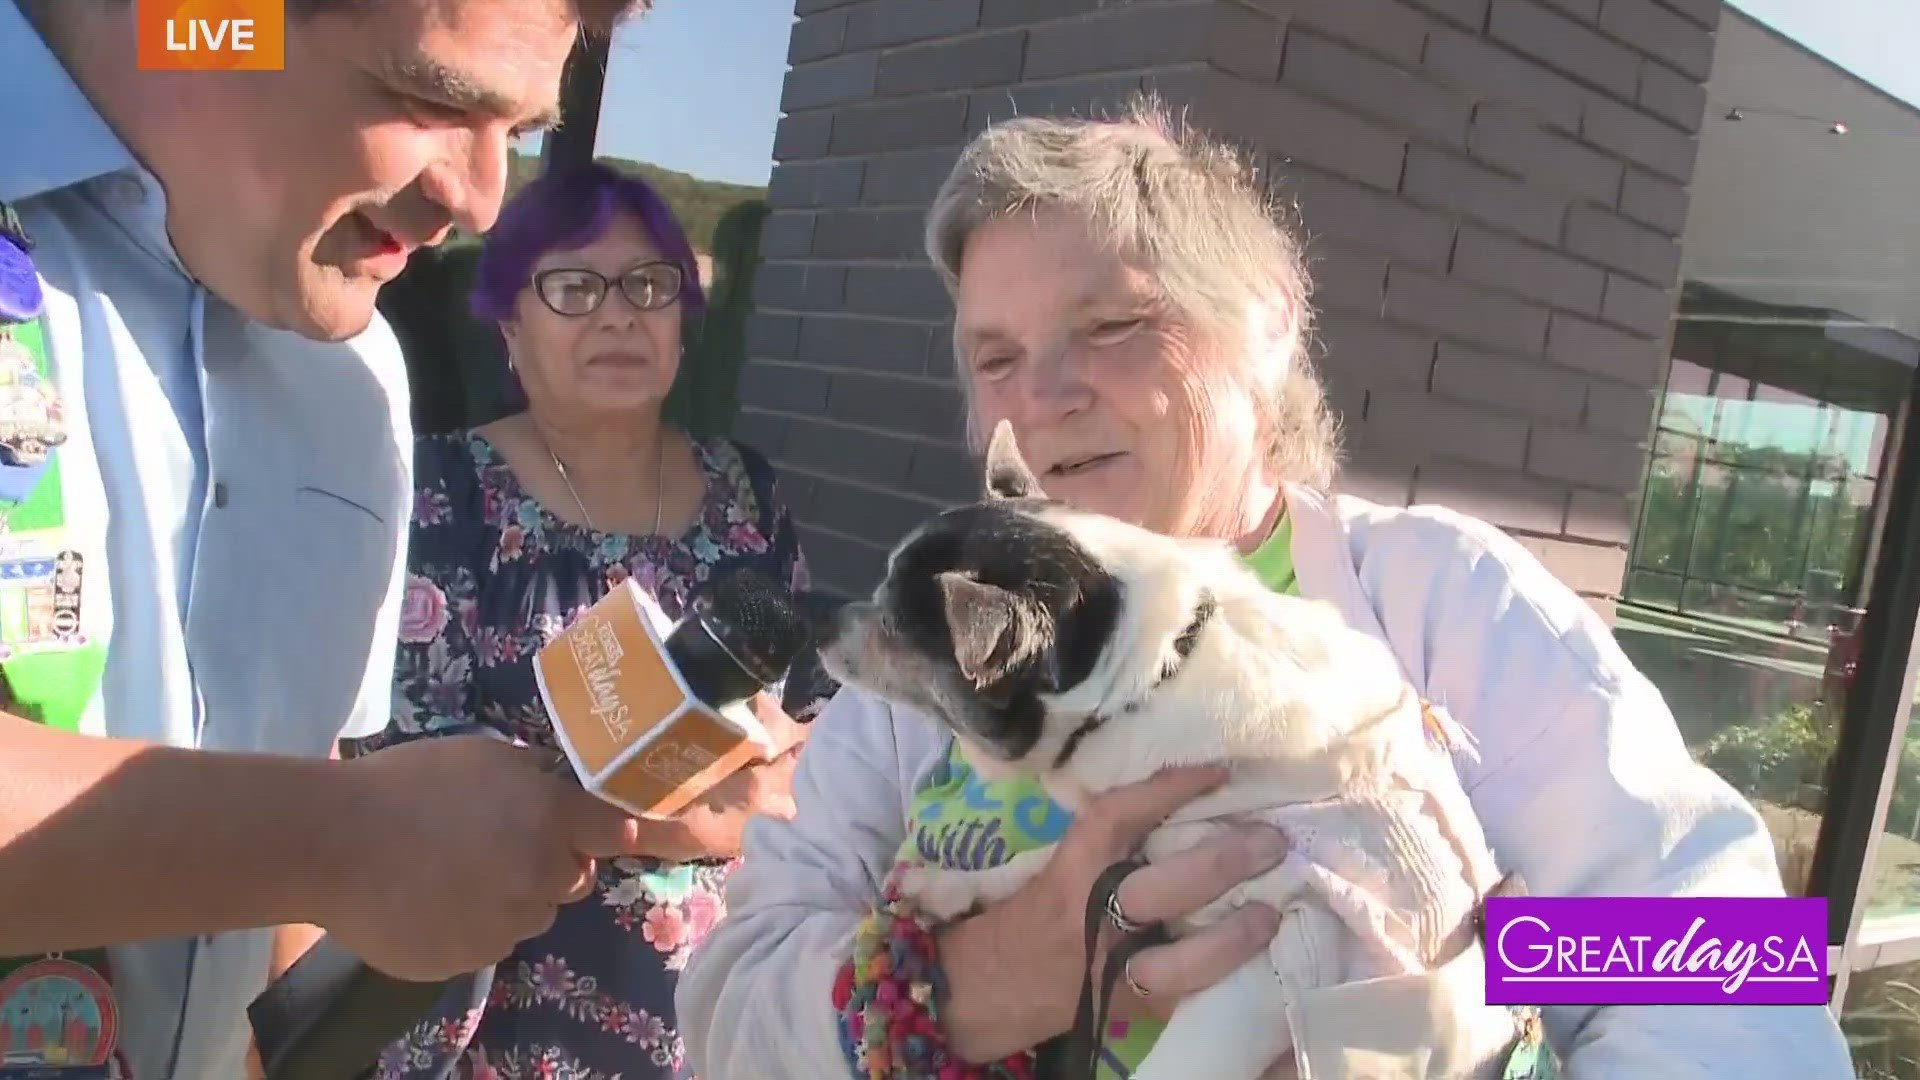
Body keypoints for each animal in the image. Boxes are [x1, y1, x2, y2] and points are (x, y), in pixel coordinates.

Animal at [814, 418, 1528, 1076]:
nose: (822, 616)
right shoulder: (1139, 845)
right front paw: (949, 890)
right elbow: (1040, 865)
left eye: (894, 628)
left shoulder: (1277, 954)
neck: (1159, 668)